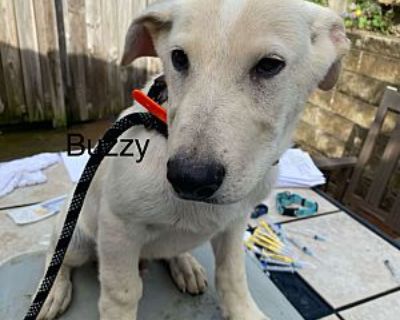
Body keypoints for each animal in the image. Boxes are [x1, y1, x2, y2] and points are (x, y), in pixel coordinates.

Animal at [38, 1, 350, 318]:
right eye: (178, 58)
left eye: (270, 65)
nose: (189, 179)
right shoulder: (118, 226)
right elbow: (122, 293)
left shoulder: (235, 223)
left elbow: (232, 275)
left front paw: (243, 310)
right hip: (76, 236)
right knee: (56, 256)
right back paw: (53, 292)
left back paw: (184, 264)